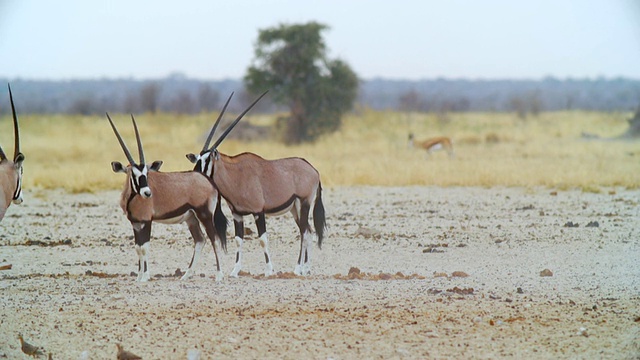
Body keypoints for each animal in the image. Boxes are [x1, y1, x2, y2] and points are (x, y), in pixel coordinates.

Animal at [108, 114, 230, 282]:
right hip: (191, 218)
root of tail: (208, 181)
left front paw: (145, 277)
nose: (147, 193)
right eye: (133, 174)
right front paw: (138, 277)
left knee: (215, 239)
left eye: (146, 173)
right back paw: (186, 275)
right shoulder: (135, 223)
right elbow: (138, 248)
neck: (132, 198)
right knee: (200, 240)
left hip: (204, 214)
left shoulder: (147, 221)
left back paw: (219, 275)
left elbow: (144, 247)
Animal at [184, 91, 324, 278]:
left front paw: (269, 271)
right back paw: (305, 268)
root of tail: (314, 170)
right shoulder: (237, 214)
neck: (236, 175)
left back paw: (297, 268)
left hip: (304, 203)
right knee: (308, 231)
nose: (195, 175)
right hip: (295, 208)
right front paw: (235, 271)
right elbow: (238, 240)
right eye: (197, 159)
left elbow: (263, 239)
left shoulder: (258, 212)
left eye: (208, 160)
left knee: (304, 232)